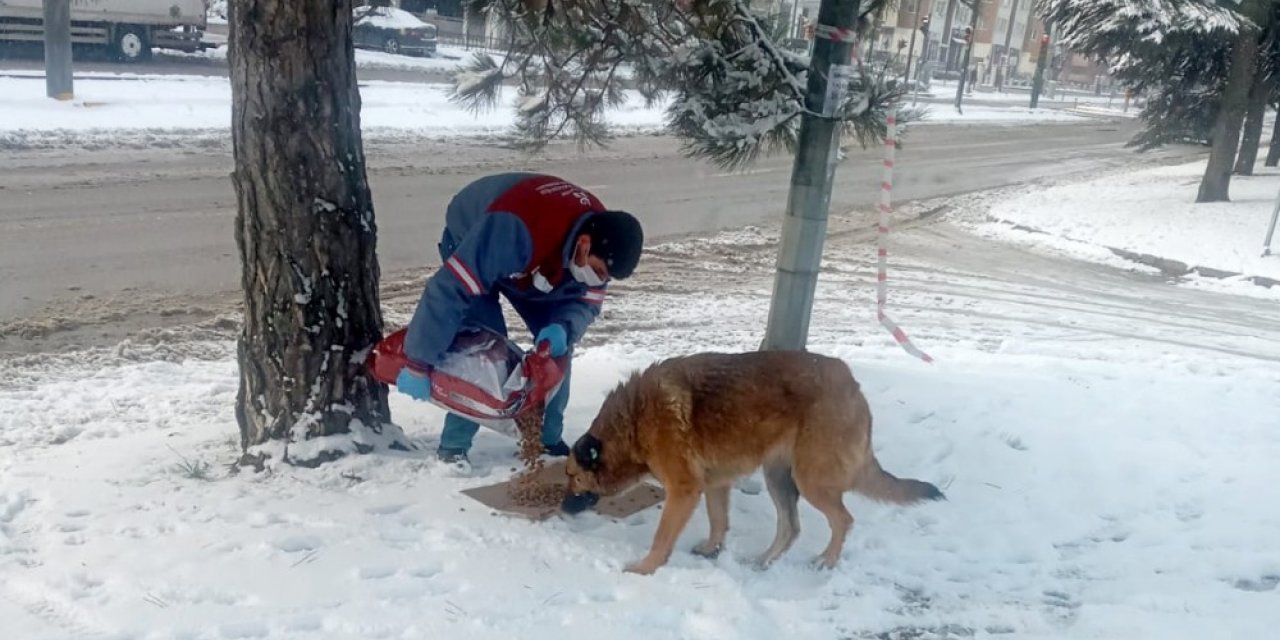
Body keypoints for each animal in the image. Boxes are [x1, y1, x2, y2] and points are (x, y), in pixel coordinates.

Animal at [565, 350, 947, 576]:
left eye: (572, 477)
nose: (563, 508)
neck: (632, 422)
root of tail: (853, 385)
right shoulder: (715, 485)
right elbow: (718, 521)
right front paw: (712, 549)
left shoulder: (683, 491)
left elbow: (662, 537)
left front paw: (646, 568)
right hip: (778, 477)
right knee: (790, 527)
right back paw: (763, 561)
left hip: (809, 480)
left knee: (843, 520)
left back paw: (826, 560)